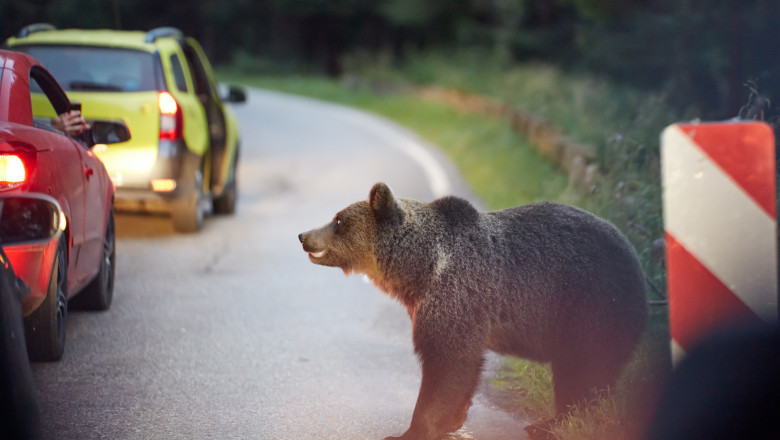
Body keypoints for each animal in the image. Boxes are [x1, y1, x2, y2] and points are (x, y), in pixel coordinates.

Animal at [298, 183, 644, 440]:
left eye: (338, 220)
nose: (303, 235)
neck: (418, 269)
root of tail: (635, 258)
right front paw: (454, 417)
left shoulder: (457, 293)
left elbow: (449, 361)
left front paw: (412, 430)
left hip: (590, 305)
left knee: (583, 371)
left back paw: (550, 424)